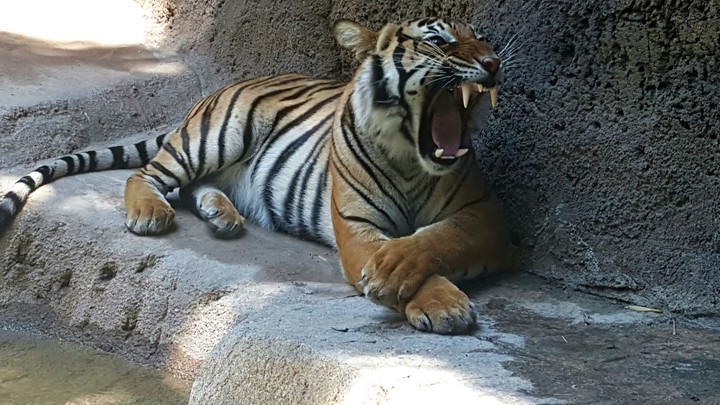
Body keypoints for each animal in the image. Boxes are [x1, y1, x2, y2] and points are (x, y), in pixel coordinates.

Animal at [0, 17, 514, 334]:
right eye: (439, 41)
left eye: (483, 38)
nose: (493, 63)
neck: (412, 156)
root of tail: (228, 86)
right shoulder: (356, 225)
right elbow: (394, 251)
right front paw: (439, 302)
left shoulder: (485, 214)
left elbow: (435, 239)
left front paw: (410, 278)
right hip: (217, 137)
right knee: (148, 175)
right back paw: (151, 213)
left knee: (194, 187)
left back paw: (222, 215)